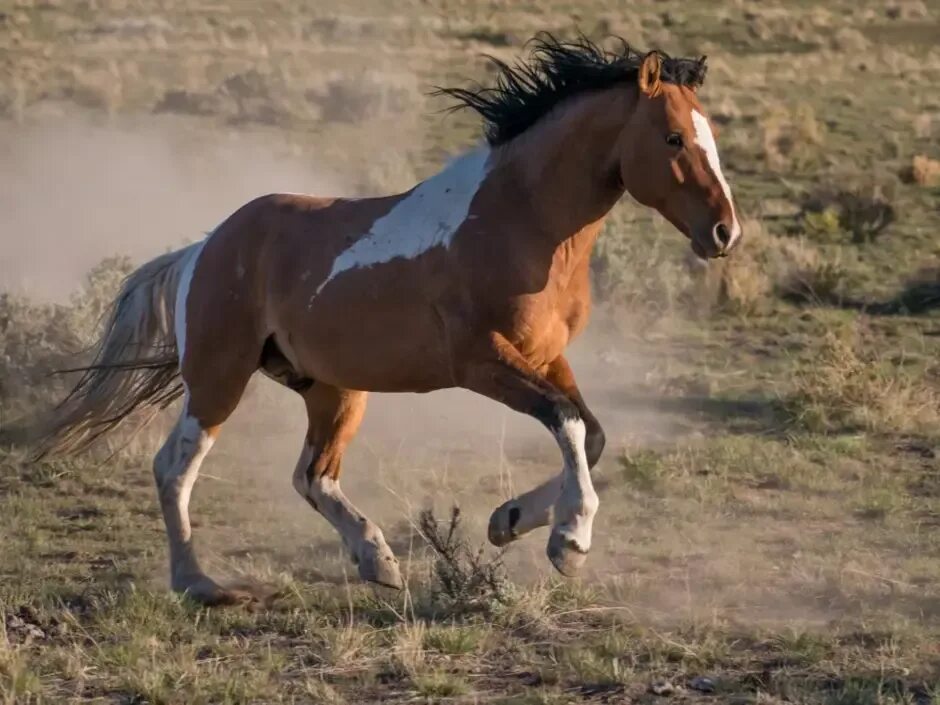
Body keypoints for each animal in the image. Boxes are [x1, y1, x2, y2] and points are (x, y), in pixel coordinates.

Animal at [36, 34, 740, 604]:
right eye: (674, 138)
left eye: (710, 135)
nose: (724, 232)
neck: (520, 220)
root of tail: (204, 247)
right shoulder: (482, 362)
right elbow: (567, 424)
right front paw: (568, 540)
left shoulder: (546, 356)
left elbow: (589, 436)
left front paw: (509, 520)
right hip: (220, 377)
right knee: (175, 467)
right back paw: (201, 584)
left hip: (334, 389)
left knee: (312, 477)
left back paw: (377, 561)